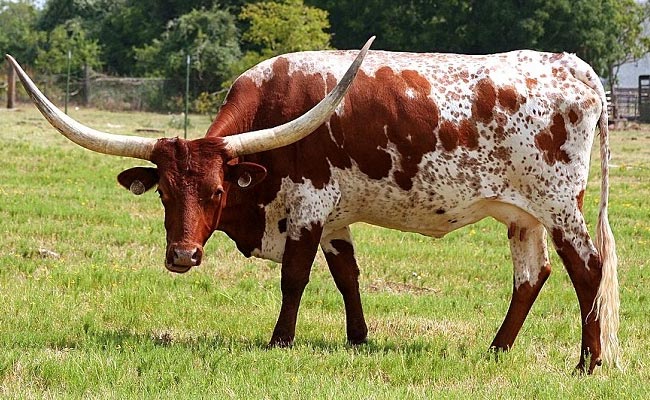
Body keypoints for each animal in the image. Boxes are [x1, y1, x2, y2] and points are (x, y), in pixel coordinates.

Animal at [7, 37, 619, 373]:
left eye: (217, 191)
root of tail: (576, 67)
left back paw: (587, 364)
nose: (182, 257)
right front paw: (358, 339)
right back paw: (497, 350)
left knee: (586, 268)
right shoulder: (334, 219)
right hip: (522, 213)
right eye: (164, 192)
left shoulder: (308, 206)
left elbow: (296, 277)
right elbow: (347, 275)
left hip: (560, 202)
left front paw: (280, 340)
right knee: (532, 276)